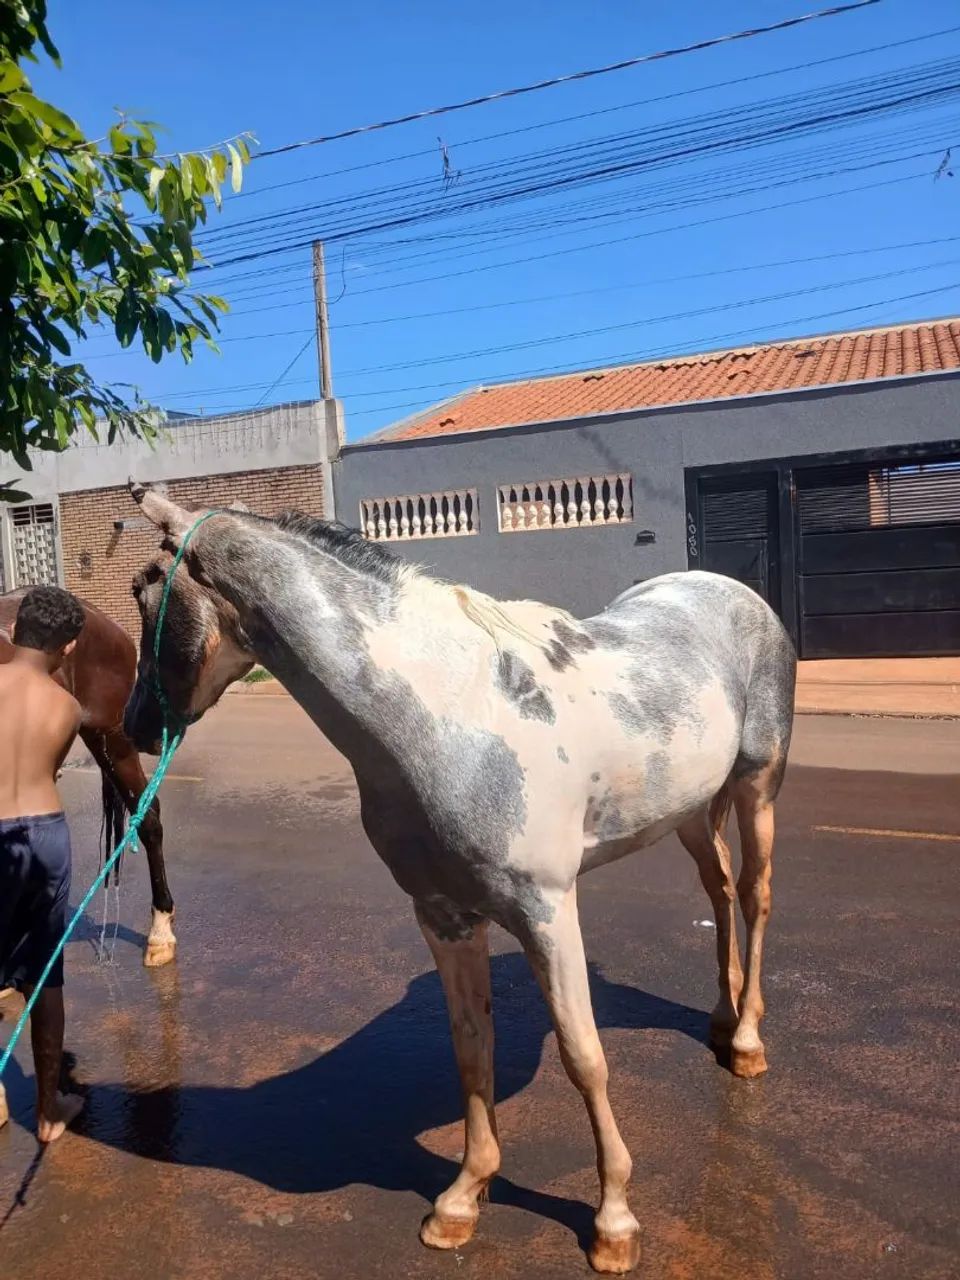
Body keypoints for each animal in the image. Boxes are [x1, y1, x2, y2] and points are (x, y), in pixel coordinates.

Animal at [123, 480, 796, 1276]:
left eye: (145, 592)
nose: (134, 726)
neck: (447, 720)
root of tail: (728, 589)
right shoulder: (443, 916)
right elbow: (472, 1051)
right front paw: (461, 1201)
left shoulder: (546, 912)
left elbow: (583, 1055)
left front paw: (614, 1222)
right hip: (691, 811)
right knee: (718, 892)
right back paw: (723, 1018)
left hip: (756, 788)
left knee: (753, 898)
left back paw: (747, 1043)